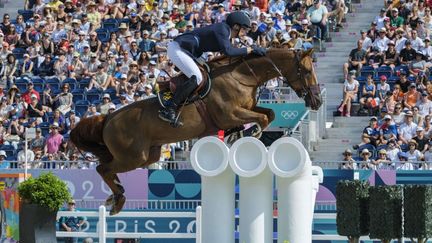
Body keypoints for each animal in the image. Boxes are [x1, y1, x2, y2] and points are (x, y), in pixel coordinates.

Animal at [70, 47, 320, 215]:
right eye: (307, 71)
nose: (316, 101)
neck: (243, 76)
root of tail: (108, 118)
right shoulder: (229, 114)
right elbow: (262, 118)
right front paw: (249, 134)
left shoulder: (244, 109)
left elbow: (269, 114)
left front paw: (240, 134)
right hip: (133, 156)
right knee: (103, 168)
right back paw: (118, 200)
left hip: (148, 155)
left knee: (108, 167)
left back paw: (115, 197)